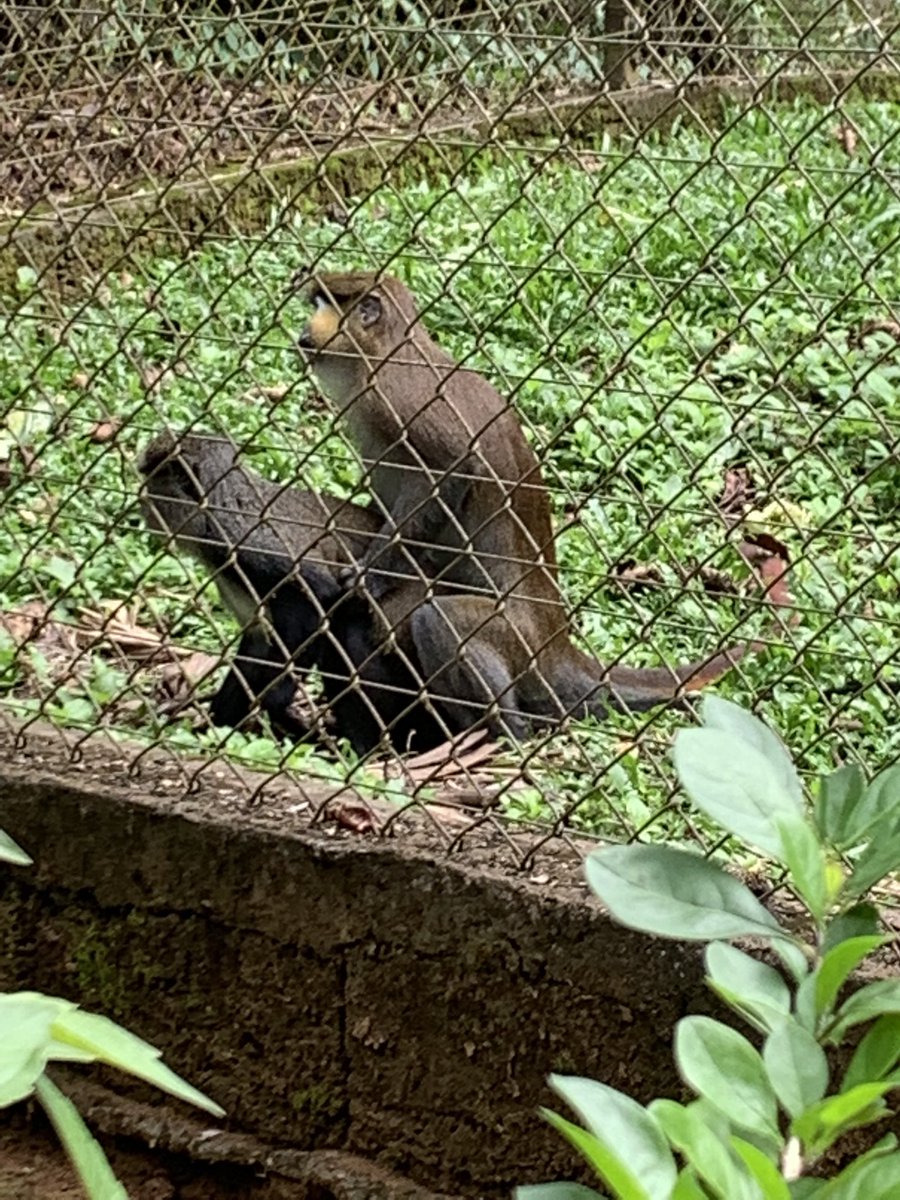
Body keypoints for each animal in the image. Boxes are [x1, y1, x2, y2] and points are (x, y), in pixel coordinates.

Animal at [137, 430, 445, 754]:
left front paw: (274, 710)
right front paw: (217, 730)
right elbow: (259, 645)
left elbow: (316, 611)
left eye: (152, 480)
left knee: (348, 628)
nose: (141, 499)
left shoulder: (257, 549)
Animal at [293, 268, 763, 741]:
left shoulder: (398, 394)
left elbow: (455, 466)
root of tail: (555, 646)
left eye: (324, 303)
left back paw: (503, 732)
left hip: (515, 638)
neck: (381, 353)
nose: (303, 332)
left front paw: (370, 576)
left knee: (437, 619)